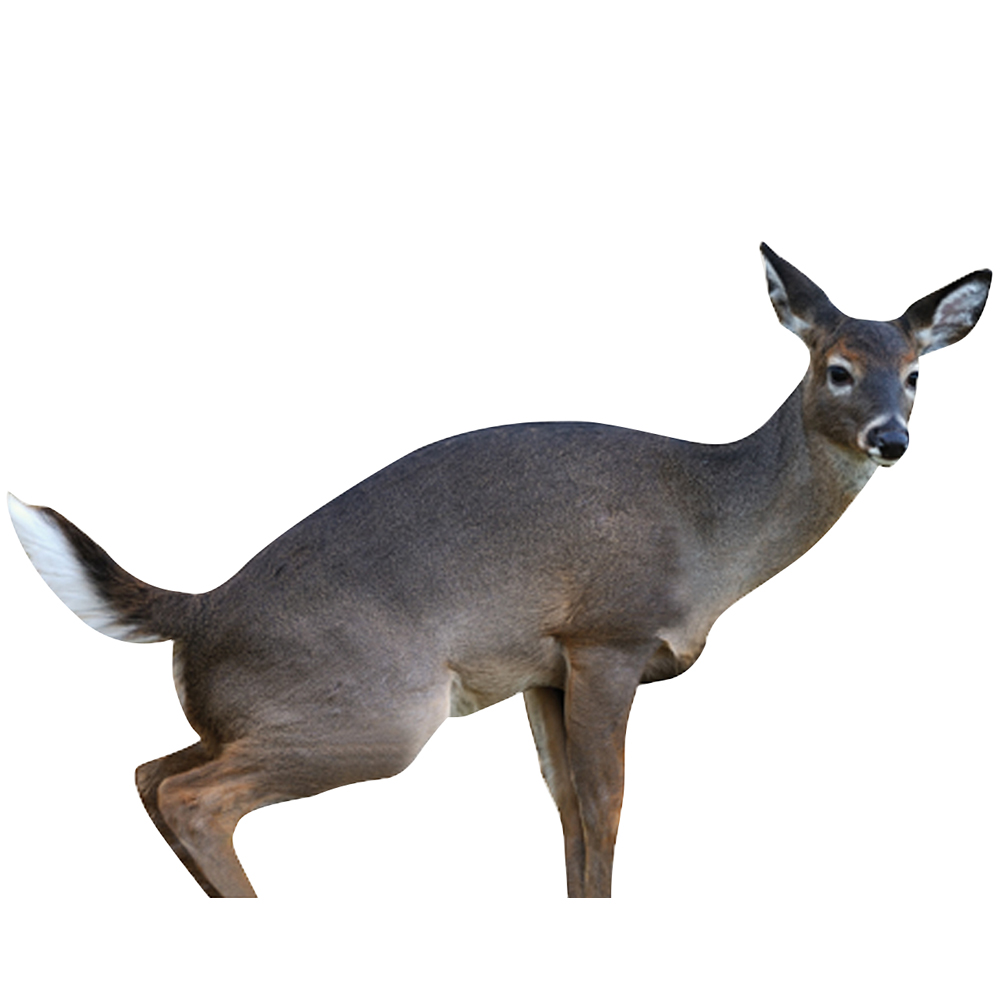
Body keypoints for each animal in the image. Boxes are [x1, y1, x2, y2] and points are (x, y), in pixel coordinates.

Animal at [8, 245, 991, 898]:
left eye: (915, 375)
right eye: (838, 369)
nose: (891, 439)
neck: (712, 526)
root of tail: (200, 611)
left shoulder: (541, 669)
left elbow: (566, 812)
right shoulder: (606, 635)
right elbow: (606, 805)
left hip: (268, 716)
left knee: (150, 771)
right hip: (384, 711)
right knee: (192, 796)